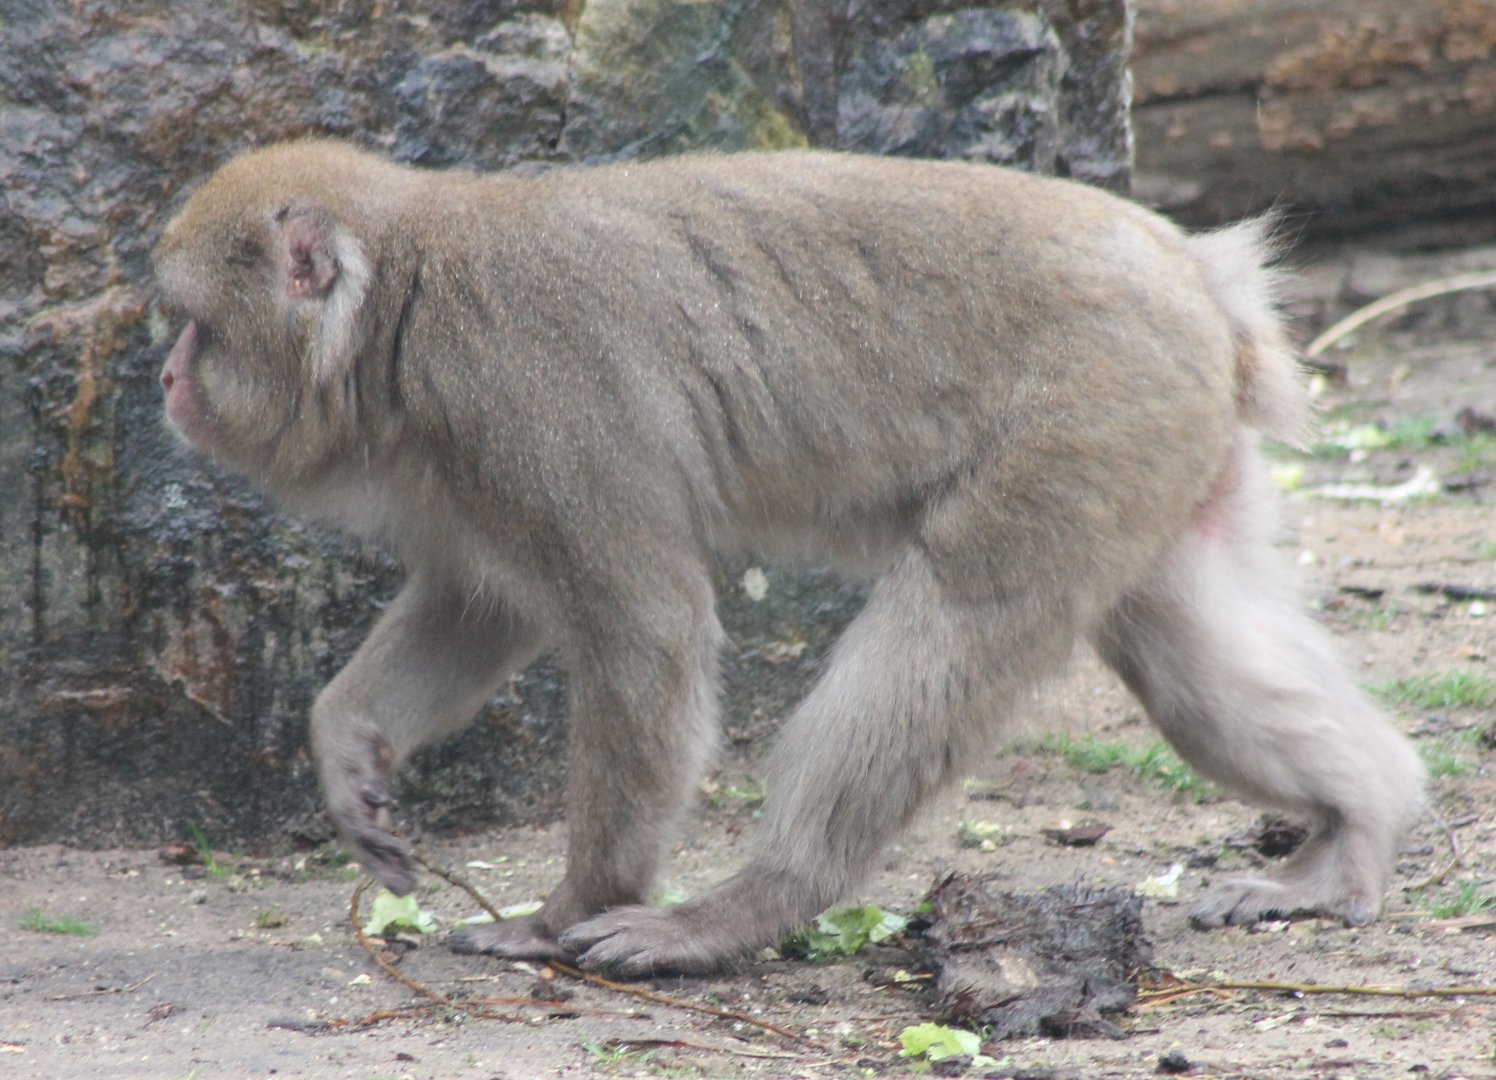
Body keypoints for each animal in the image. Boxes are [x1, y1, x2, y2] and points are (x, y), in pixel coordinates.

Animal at [153, 140, 1424, 977]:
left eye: (191, 325)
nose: (164, 380)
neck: (410, 298)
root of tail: (1192, 270)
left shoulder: (528, 398)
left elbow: (645, 631)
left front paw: (565, 911)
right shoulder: (475, 465)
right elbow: (479, 607)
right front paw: (348, 749)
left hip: (1089, 413)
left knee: (957, 619)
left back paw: (745, 910)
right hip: (1159, 443)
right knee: (1185, 660)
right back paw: (1353, 825)